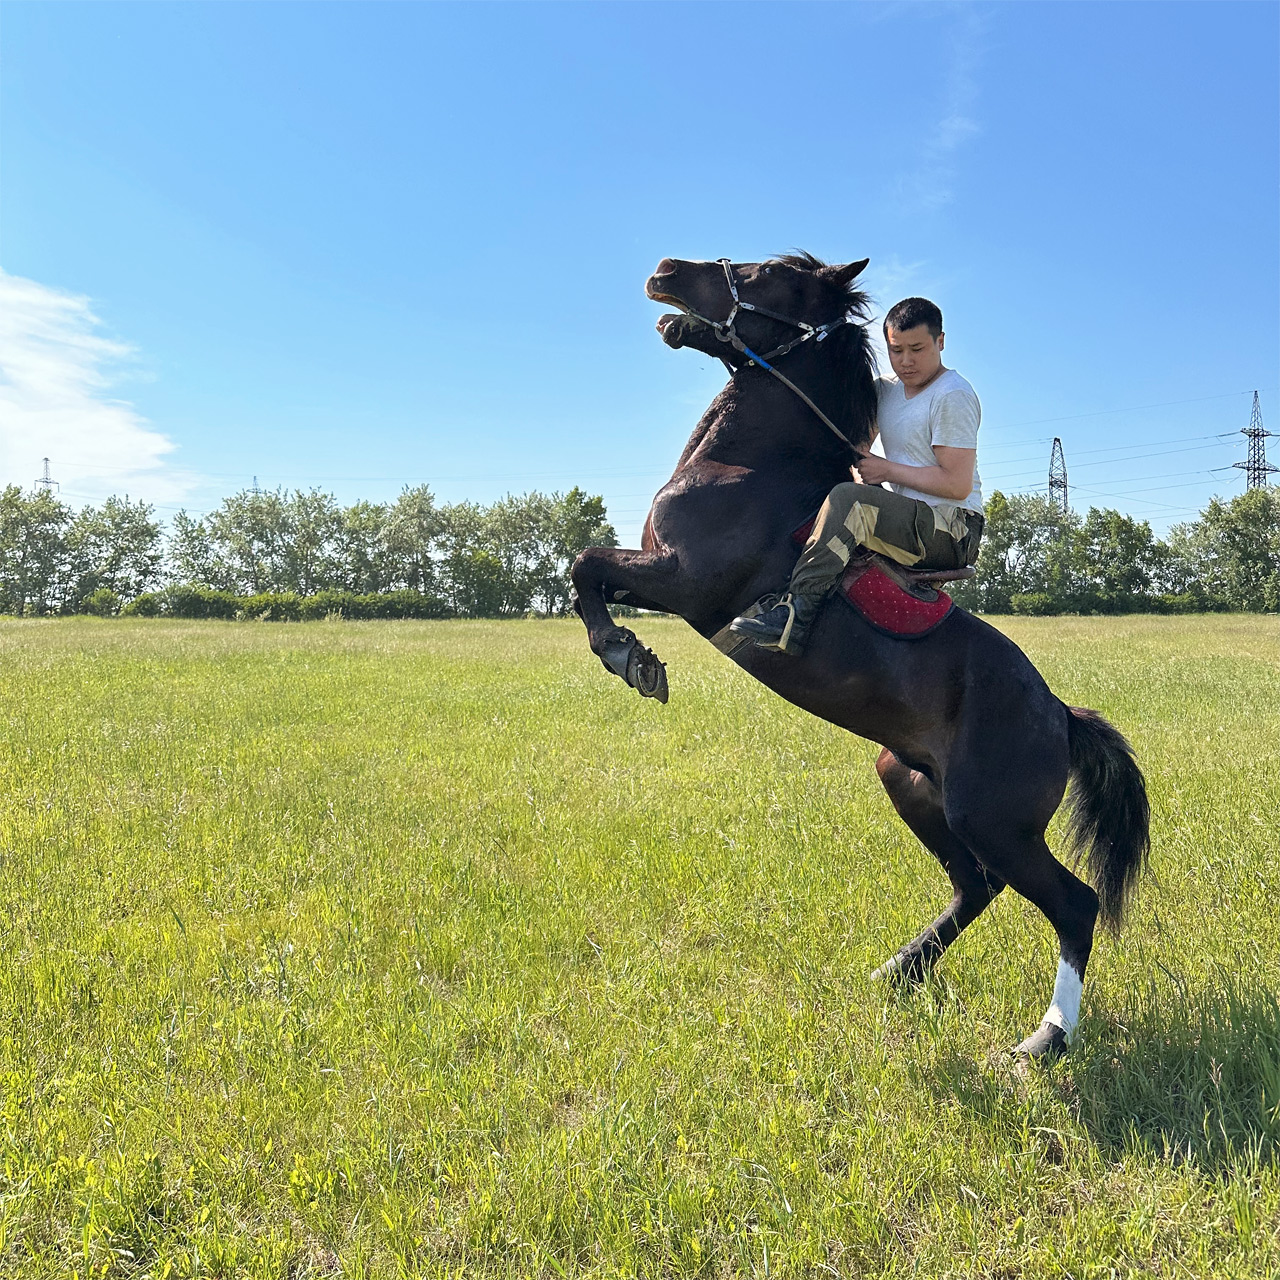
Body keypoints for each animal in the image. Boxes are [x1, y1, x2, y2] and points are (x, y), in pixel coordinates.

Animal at [570, 252, 1152, 1059]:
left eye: (770, 273)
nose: (666, 271)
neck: (749, 467)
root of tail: (1061, 715)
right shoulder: (661, 576)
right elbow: (587, 570)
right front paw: (630, 652)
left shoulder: (683, 581)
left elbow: (585, 563)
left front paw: (629, 657)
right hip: (910, 784)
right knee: (977, 886)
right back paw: (898, 971)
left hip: (992, 818)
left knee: (1072, 904)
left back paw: (1043, 1040)